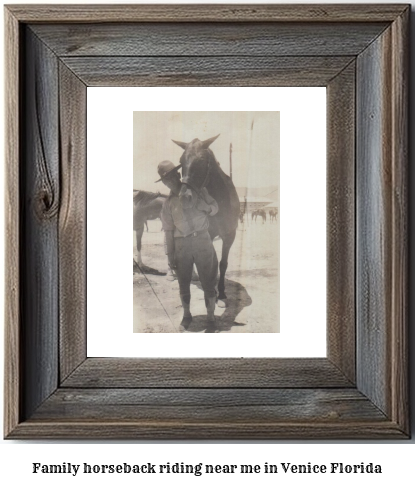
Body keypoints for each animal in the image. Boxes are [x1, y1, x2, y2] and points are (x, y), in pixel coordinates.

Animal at [173, 133, 240, 302]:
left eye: (202, 160)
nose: (185, 197)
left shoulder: (230, 235)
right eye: (181, 161)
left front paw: (221, 292)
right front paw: (212, 291)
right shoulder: (207, 234)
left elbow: (222, 263)